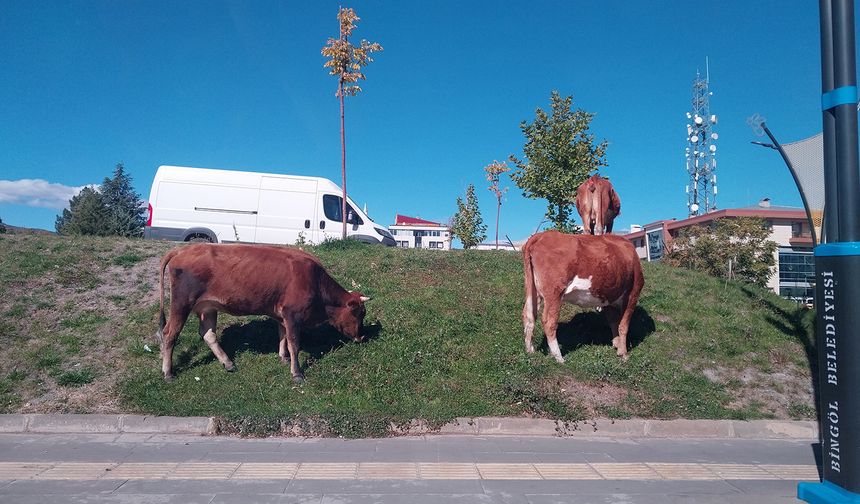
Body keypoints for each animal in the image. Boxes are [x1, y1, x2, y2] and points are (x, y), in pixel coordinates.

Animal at [157, 244, 370, 382]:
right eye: (359, 313)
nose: (361, 337)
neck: (315, 281)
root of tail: (183, 249)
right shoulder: (292, 314)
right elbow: (294, 343)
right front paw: (296, 373)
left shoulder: (281, 315)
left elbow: (282, 336)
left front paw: (283, 357)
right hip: (181, 303)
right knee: (169, 334)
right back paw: (168, 373)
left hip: (208, 307)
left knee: (208, 334)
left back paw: (228, 363)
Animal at [520, 230, 640, 364]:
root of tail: (541, 234)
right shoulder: (633, 293)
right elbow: (623, 325)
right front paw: (623, 353)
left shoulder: (608, 299)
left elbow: (613, 322)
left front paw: (616, 344)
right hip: (554, 292)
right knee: (549, 321)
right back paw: (559, 358)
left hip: (533, 290)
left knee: (528, 316)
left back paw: (530, 351)